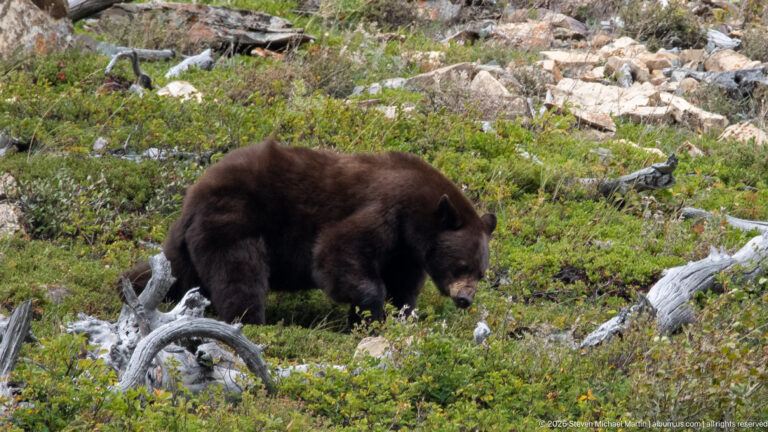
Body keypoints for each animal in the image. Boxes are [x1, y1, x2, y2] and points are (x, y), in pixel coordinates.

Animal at [124, 138, 496, 325]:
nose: (465, 299)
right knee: (239, 272)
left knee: (175, 270)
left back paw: (130, 286)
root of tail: (194, 194)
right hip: (235, 218)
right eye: (462, 266)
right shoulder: (383, 212)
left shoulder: (405, 251)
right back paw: (249, 319)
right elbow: (337, 252)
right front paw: (372, 313)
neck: (417, 214)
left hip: (188, 239)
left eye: (481, 272)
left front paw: (394, 315)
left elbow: (402, 285)